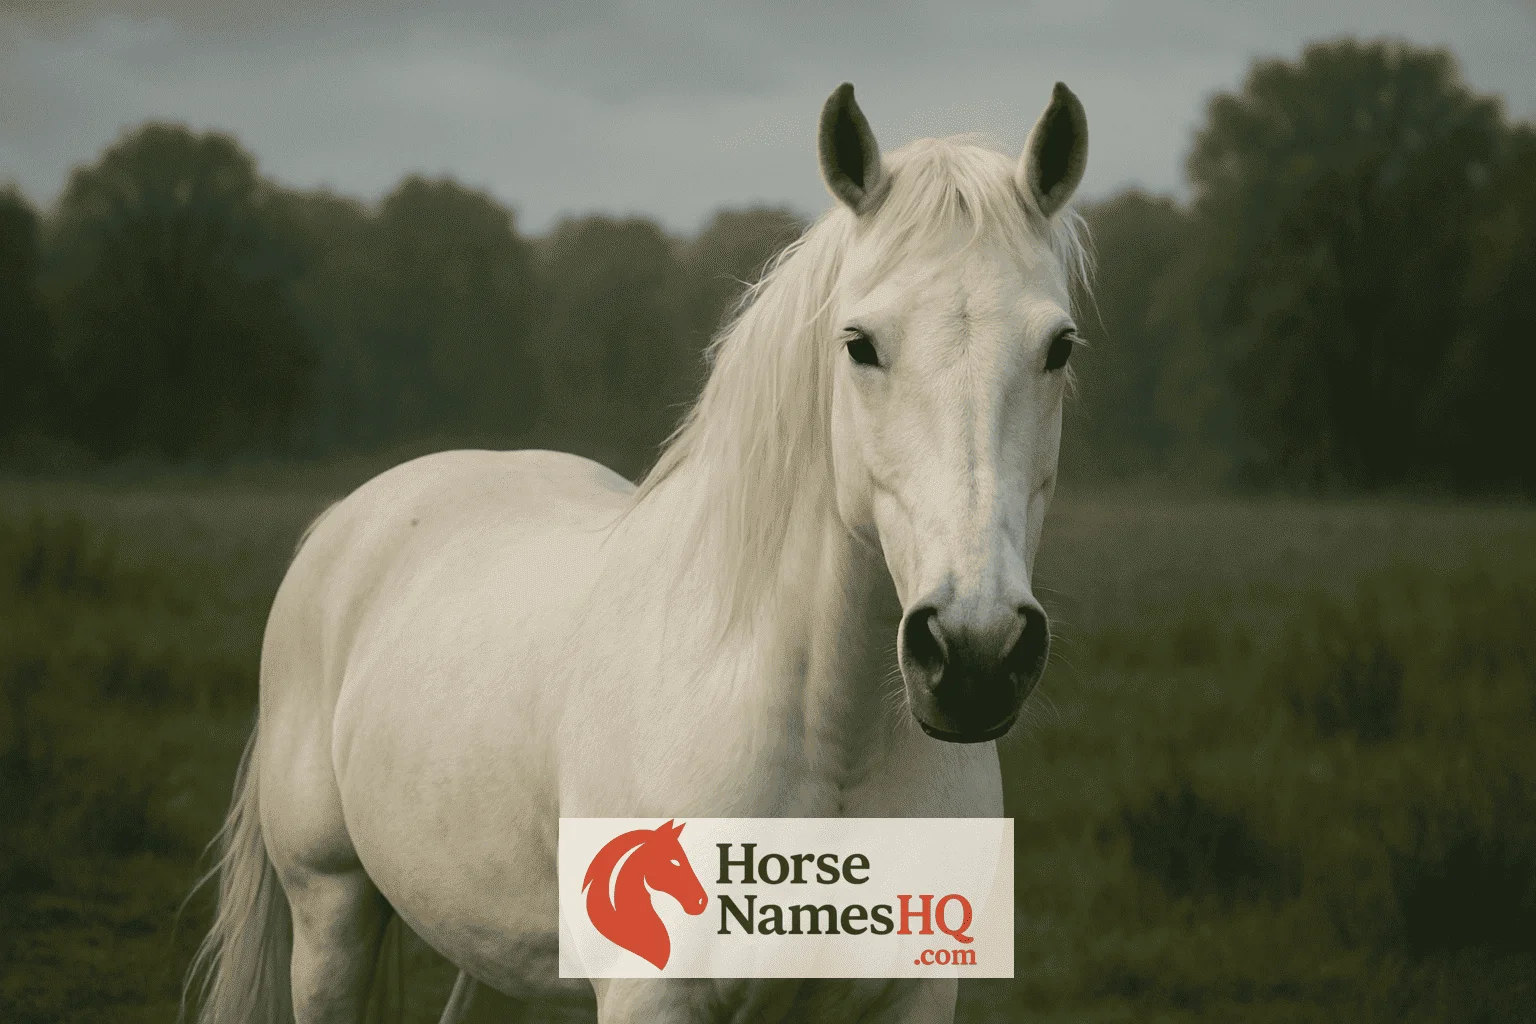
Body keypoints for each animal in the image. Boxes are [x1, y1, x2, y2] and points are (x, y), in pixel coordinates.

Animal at [184, 78, 1092, 1024]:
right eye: (861, 345)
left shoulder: (912, 993)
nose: (976, 653)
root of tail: (344, 524)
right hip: (331, 911)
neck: (825, 736)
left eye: (1058, 346)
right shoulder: (651, 994)